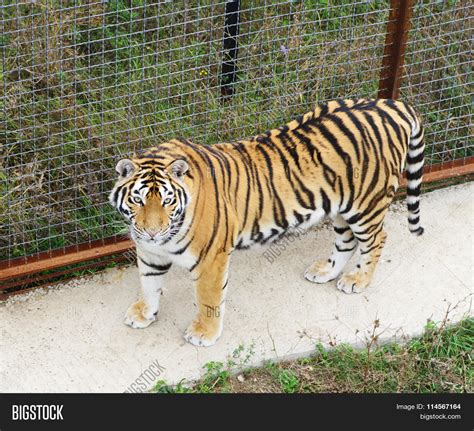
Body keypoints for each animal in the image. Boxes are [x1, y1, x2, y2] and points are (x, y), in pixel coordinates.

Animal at [109, 98, 424, 348]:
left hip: (366, 205)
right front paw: (145, 313)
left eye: (167, 201)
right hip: (340, 205)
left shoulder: (211, 259)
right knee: (346, 240)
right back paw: (326, 272)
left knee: (377, 239)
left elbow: (209, 298)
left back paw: (357, 280)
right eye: (137, 200)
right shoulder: (150, 253)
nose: (152, 232)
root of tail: (392, 104)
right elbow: (149, 284)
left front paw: (204, 333)